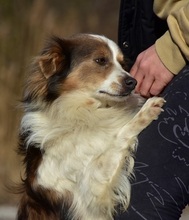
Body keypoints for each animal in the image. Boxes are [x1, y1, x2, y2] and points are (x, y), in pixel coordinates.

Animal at [17, 33, 165, 220]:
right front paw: (146, 111)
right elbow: (119, 138)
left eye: (122, 63)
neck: (84, 112)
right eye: (100, 60)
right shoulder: (92, 192)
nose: (133, 82)